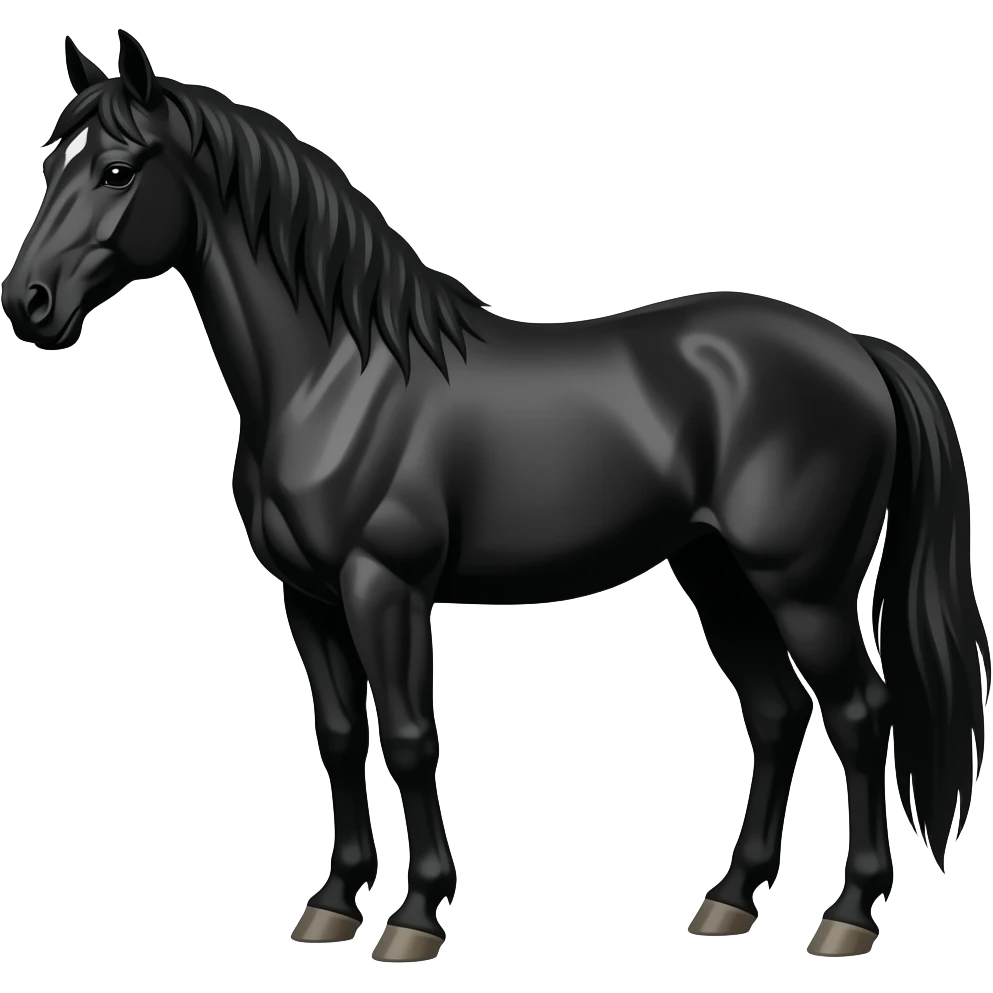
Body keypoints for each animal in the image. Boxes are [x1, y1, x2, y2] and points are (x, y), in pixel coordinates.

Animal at [2, 30, 989, 962]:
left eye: (118, 169)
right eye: (50, 164)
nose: (28, 303)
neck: (335, 374)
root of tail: (857, 349)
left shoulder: (385, 587)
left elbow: (407, 735)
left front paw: (415, 917)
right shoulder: (309, 597)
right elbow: (339, 734)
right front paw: (332, 904)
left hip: (803, 587)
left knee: (859, 715)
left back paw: (847, 915)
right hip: (719, 576)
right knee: (777, 713)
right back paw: (728, 899)